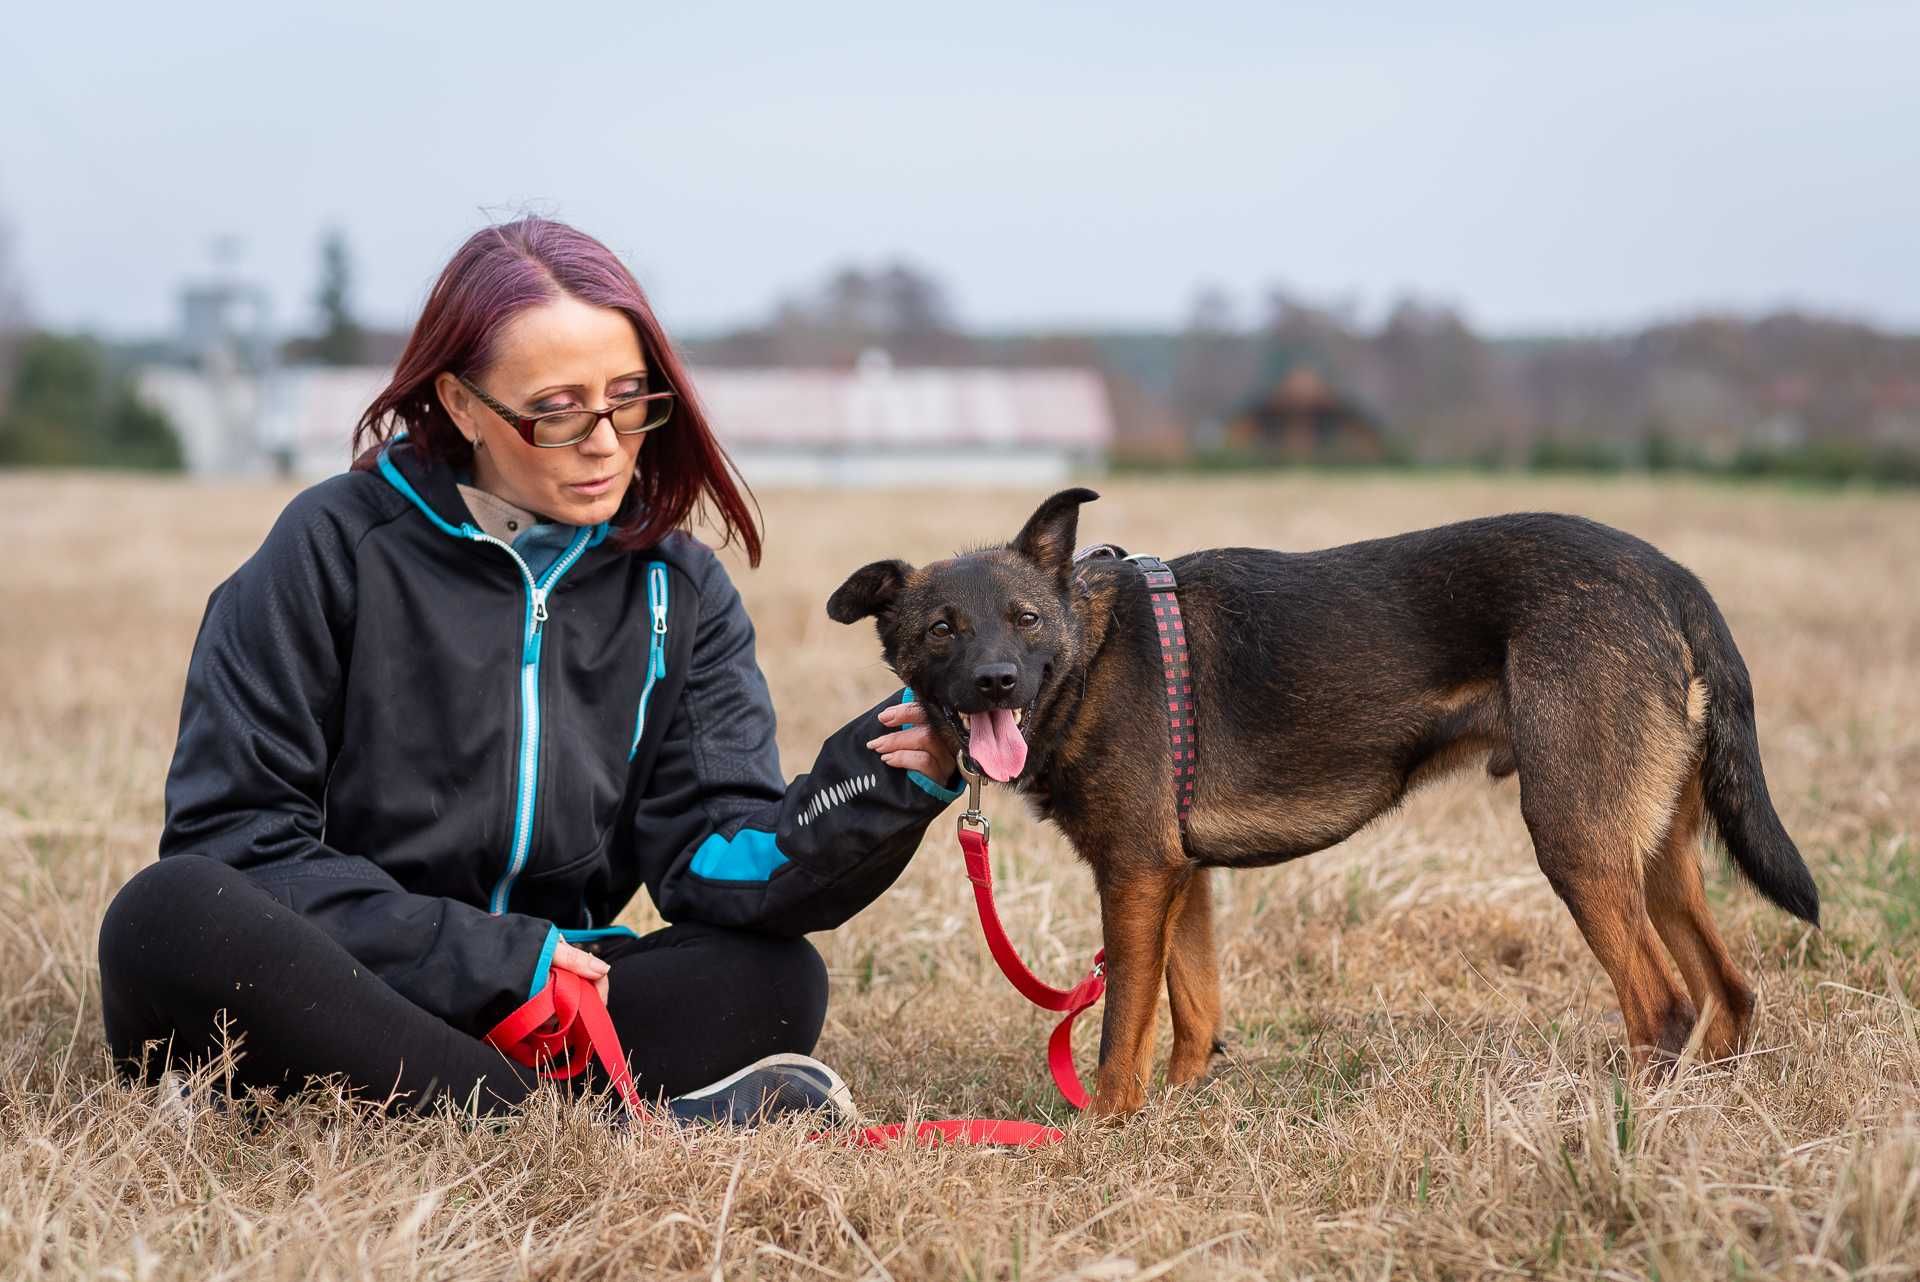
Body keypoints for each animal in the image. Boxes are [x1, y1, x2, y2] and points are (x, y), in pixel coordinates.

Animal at [825, 495, 1812, 1113]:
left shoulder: (1137, 876)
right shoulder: (1181, 877)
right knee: (1727, 992)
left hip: (1577, 841)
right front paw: (1176, 1115)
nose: (995, 681)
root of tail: (1669, 576)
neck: (1088, 651)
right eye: (940, 630)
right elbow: (1194, 1016)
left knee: (1664, 1006)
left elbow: (1118, 1036)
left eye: (1025, 620)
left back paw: (1624, 1125)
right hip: (1657, 853)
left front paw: (1101, 1133)